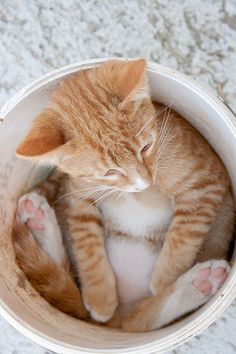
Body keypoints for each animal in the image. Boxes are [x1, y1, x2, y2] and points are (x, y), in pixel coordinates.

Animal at [12, 58, 234, 332]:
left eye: (146, 147)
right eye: (110, 171)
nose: (143, 183)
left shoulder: (207, 182)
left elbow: (185, 233)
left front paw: (166, 277)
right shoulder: (77, 195)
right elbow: (86, 243)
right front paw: (99, 295)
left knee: (138, 320)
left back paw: (195, 284)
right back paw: (38, 222)